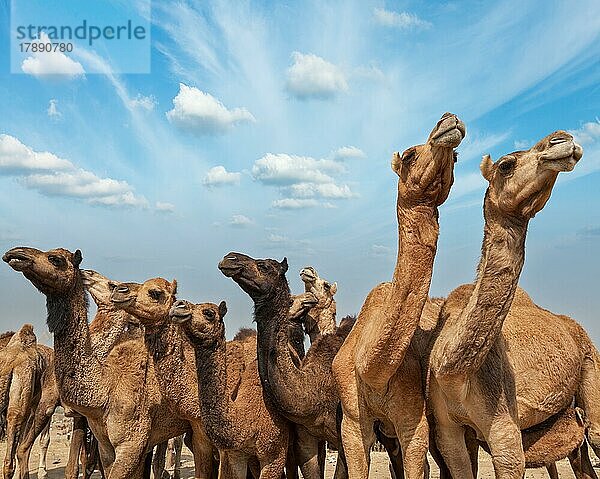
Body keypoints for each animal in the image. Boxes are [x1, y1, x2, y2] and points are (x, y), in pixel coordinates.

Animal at [330, 113, 466, 479]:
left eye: (457, 158)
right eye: (408, 156)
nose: (449, 121)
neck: (371, 367)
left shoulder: (413, 421)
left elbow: (416, 463)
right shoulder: (353, 420)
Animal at [424, 131, 584, 479]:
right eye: (506, 165)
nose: (563, 139)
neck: (454, 373)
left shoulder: (503, 426)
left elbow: (510, 458)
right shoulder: (447, 429)